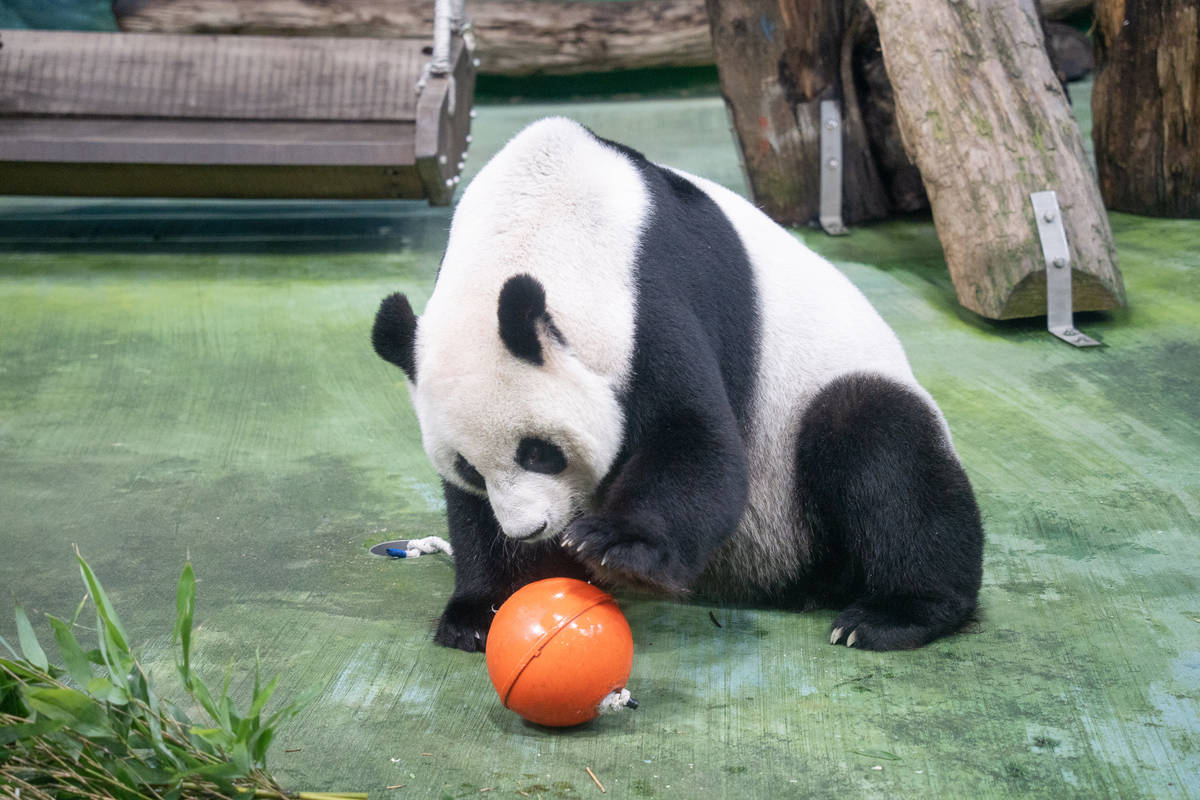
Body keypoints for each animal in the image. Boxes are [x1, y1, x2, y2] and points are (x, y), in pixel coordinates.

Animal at [374, 120, 984, 657]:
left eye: (540, 452)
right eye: (470, 467)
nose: (531, 531)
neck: (534, 217)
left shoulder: (652, 296)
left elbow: (694, 440)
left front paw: (615, 548)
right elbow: (472, 513)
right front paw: (480, 612)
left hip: (805, 440)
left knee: (881, 442)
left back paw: (890, 614)